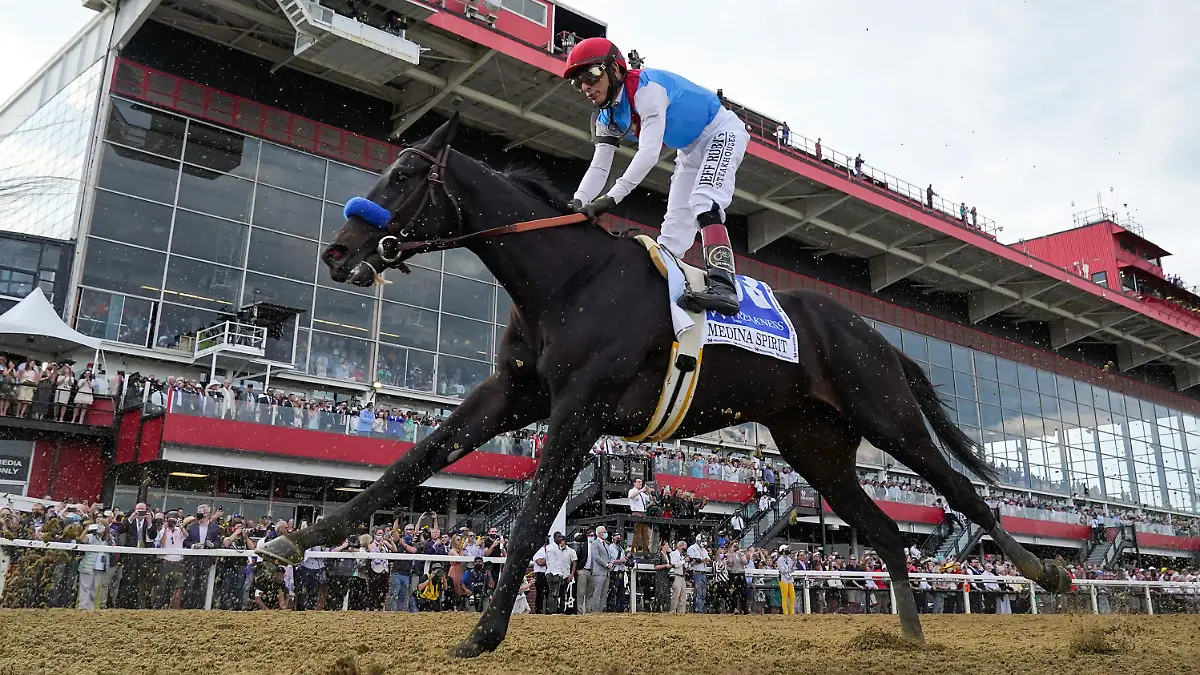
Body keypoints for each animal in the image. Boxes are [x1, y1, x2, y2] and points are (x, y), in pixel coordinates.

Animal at [257, 113, 1070, 656]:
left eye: (400, 176)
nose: (338, 252)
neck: (565, 279)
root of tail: (873, 332)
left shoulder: (578, 409)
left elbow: (531, 519)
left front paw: (483, 632)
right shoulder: (512, 395)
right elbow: (411, 461)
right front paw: (293, 543)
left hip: (884, 412)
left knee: (962, 492)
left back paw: (1042, 569)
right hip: (815, 448)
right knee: (890, 531)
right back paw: (907, 634)